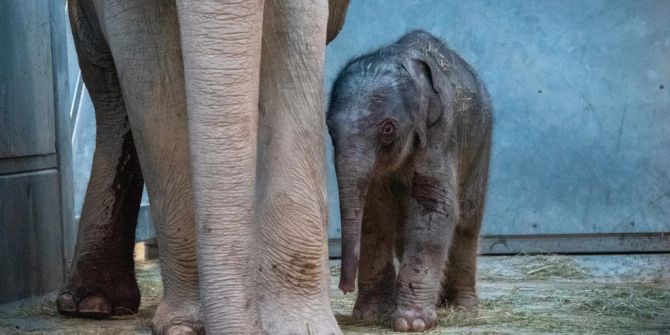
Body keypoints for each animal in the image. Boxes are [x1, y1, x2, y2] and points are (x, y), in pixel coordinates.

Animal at [328, 29, 496, 334]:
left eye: (387, 129)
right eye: (330, 128)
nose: (344, 288)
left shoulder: (441, 132)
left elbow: (435, 206)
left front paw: (412, 323)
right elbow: (374, 212)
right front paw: (371, 315)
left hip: (481, 144)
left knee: (467, 222)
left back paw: (463, 308)